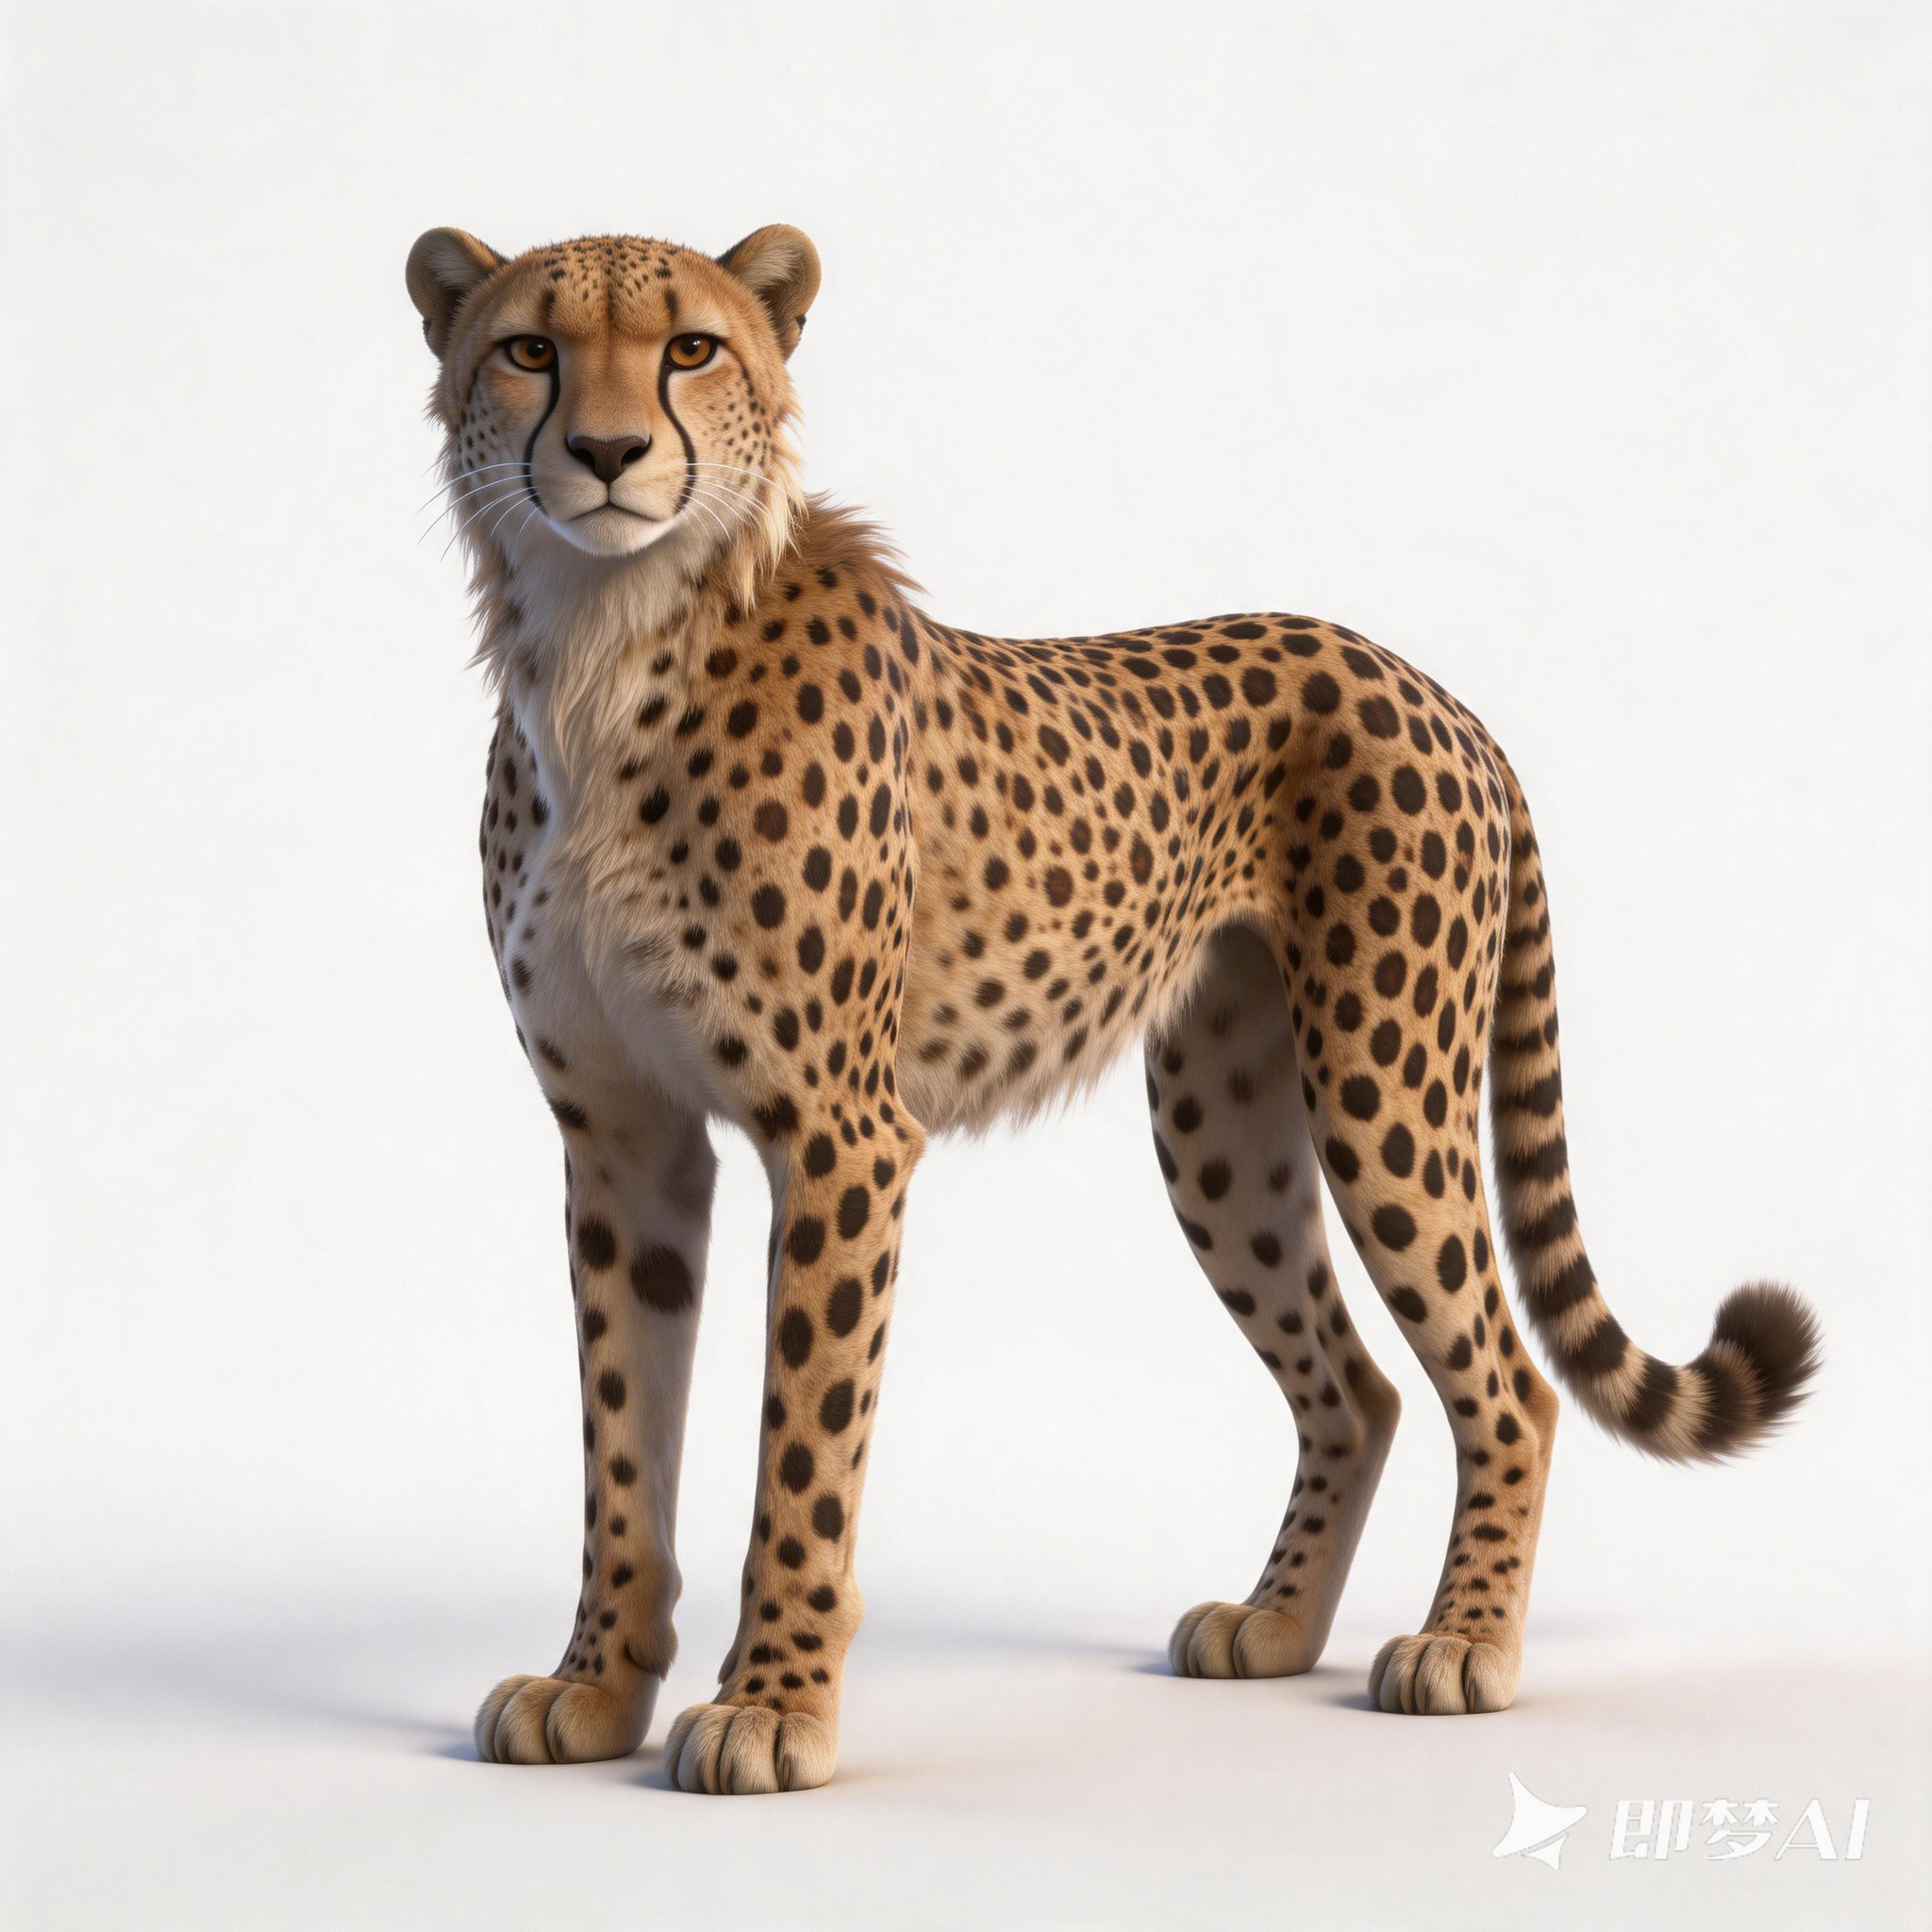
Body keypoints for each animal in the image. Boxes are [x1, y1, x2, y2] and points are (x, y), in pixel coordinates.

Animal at [407, 222, 1820, 1794]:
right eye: (530, 349)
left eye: (692, 349)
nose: (606, 452)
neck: (606, 647)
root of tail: (1425, 684)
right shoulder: (623, 1138)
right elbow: (621, 1440)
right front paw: (595, 1685)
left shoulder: (840, 1135)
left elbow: (804, 1454)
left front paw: (773, 1706)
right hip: (1221, 1122)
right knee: (1359, 1385)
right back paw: (1276, 1627)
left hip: (1382, 1088)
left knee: (1506, 1379)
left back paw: (1465, 1645)